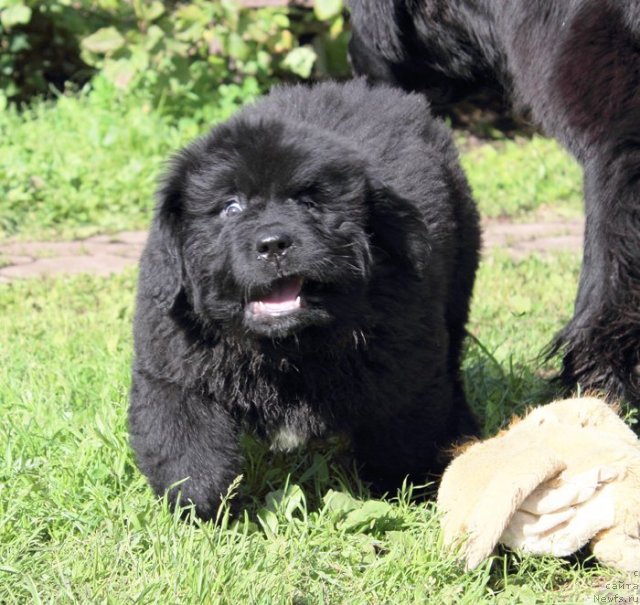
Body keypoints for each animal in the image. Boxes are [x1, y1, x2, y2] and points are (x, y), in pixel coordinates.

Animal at [129, 78, 480, 516]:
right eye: (230, 207)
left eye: (309, 202)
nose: (273, 244)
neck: (284, 349)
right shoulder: (174, 369)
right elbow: (184, 447)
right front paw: (202, 506)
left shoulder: (406, 362)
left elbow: (404, 431)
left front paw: (405, 490)